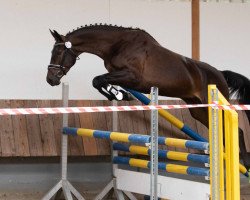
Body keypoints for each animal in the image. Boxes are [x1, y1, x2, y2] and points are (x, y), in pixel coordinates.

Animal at [46, 24, 250, 170]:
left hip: (214, 104)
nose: (50, 79)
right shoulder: (121, 76)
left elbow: (98, 79)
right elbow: (99, 81)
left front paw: (119, 94)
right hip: (198, 110)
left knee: (238, 130)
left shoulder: (133, 76)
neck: (117, 45)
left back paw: (243, 164)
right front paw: (120, 94)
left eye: (58, 52)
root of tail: (220, 74)